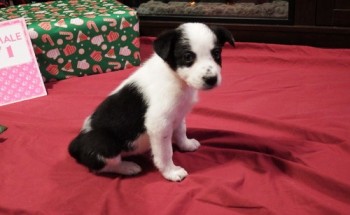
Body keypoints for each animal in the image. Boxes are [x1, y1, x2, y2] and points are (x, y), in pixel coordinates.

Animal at [67, 23, 235, 181]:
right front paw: (170, 171)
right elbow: (166, 152)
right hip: (105, 142)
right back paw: (127, 167)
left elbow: (181, 131)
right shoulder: (159, 124)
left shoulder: (178, 114)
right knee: (101, 166)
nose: (211, 79)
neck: (176, 78)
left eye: (216, 53)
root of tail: (76, 144)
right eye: (188, 56)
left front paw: (186, 145)